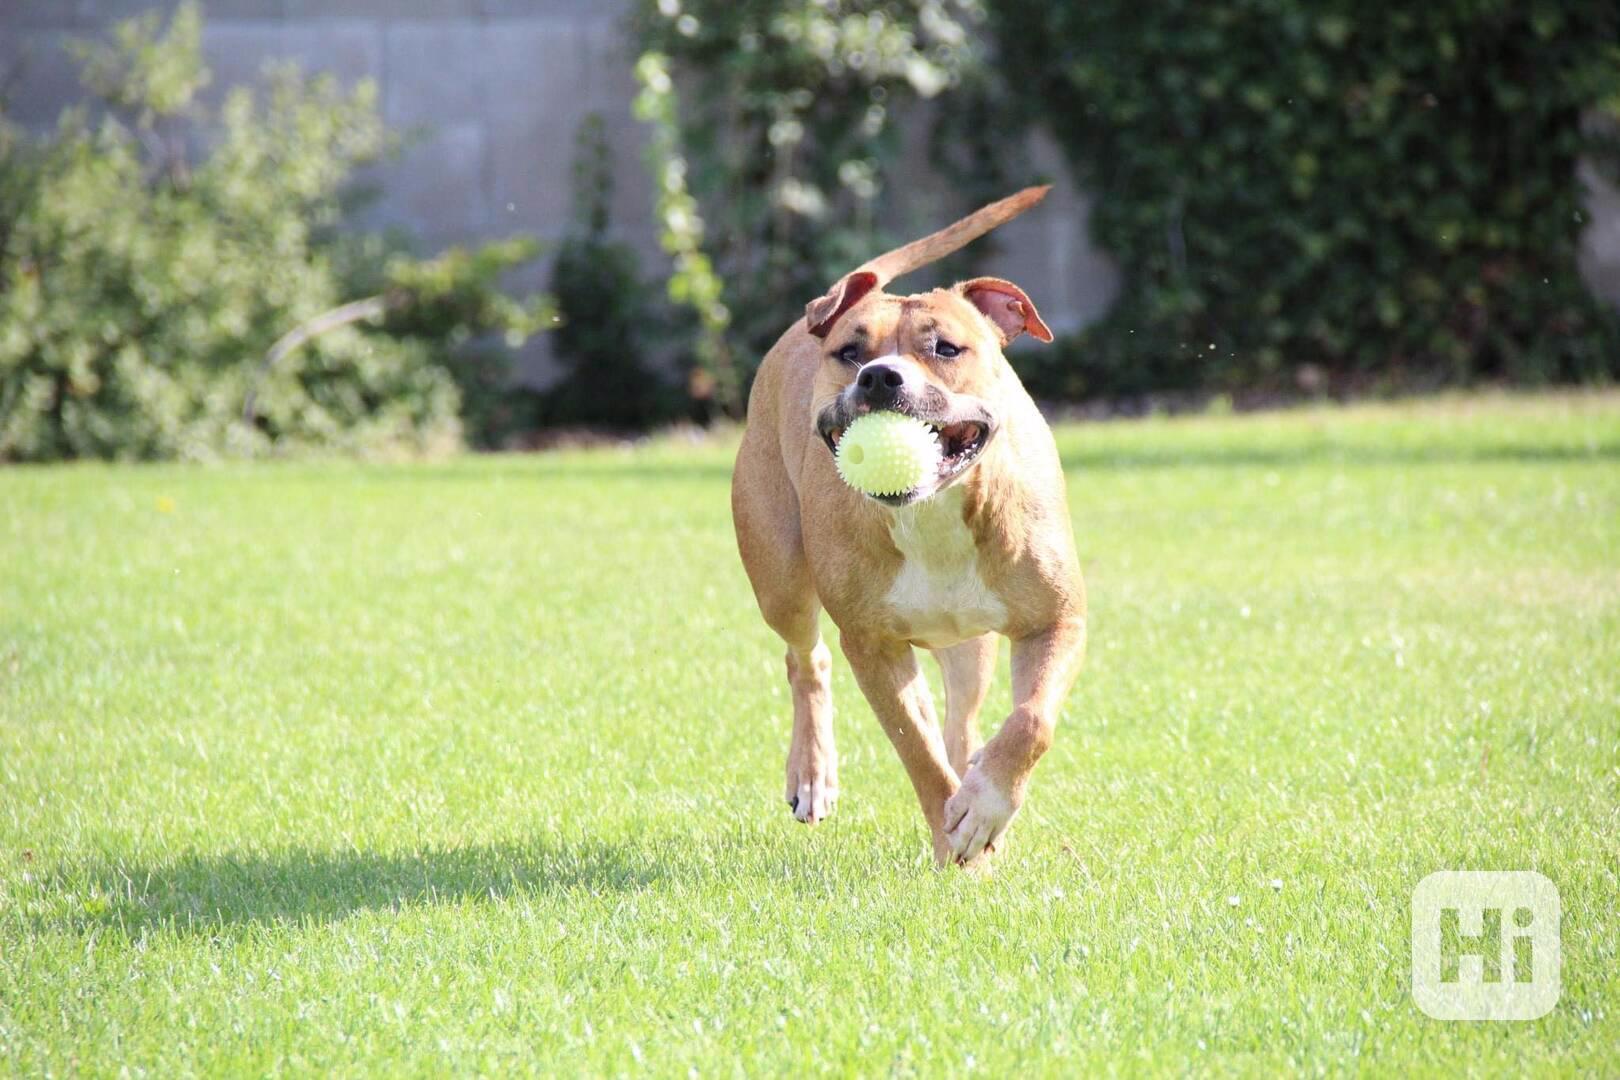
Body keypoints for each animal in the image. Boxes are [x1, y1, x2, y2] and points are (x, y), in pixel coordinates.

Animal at [735, 187, 1088, 867]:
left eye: (946, 348)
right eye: (850, 352)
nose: (879, 375)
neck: (932, 514)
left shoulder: (1055, 619)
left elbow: (1030, 721)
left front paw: (983, 807)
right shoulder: (869, 643)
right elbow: (914, 749)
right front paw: (955, 841)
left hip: (970, 643)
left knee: (961, 719)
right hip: (780, 577)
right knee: (807, 659)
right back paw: (813, 774)